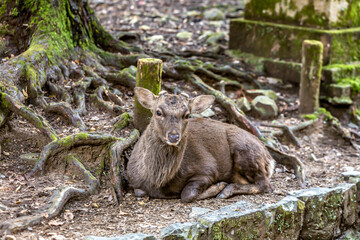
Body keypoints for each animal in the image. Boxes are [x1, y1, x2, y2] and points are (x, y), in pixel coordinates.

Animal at [128, 87, 274, 202]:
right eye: (158, 112)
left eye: (187, 115)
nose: (174, 136)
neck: (157, 181)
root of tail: (270, 159)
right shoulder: (133, 181)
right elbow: (140, 192)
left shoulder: (208, 168)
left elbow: (187, 194)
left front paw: (218, 186)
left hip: (246, 151)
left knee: (265, 184)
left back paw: (226, 190)